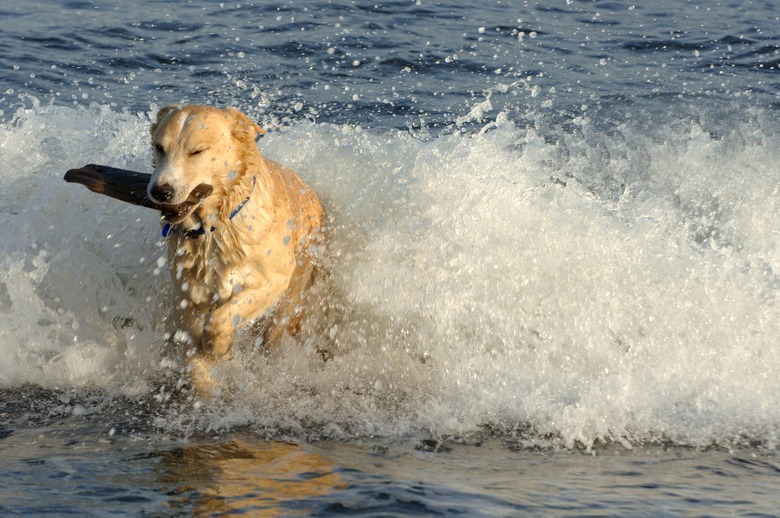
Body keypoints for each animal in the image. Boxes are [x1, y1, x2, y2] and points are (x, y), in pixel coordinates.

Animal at [145, 104, 322, 390]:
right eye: (159, 147)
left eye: (197, 151)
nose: (160, 191)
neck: (214, 229)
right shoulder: (186, 292)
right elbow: (191, 339)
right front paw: (204, 381)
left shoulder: (273, 281)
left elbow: (219, 320)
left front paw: (219, 348)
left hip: (295, 290)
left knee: (275, 331)